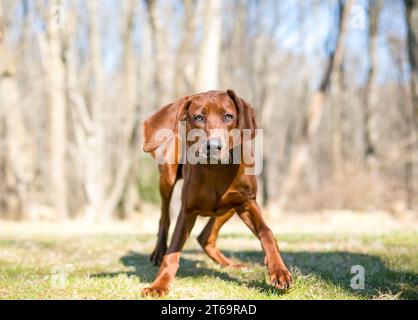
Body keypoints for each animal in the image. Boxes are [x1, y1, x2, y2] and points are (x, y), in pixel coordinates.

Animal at [140, 89, 290, 296]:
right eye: (199, 117)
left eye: (228, 116)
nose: (213, 146)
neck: (216, 168)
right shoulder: (187, 211)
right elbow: (172, 252)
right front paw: (159, 285)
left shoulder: (247, 203)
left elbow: (267, 233)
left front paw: (279, 270)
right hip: (167, 180)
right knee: (164, 217)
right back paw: (158, 251)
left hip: (229, 207)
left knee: (205, 237)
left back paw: (230, 264)